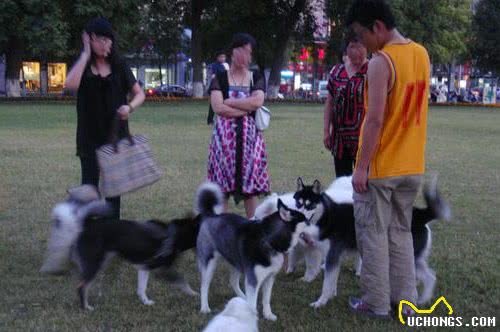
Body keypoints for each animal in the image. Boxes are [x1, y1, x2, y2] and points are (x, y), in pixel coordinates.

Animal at [41, 185, 200, 310]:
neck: (174, 233)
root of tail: (85, 224)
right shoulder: (163, 269)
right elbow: (182, 280)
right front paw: (194, 293)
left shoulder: (144, 267)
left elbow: (142, 288)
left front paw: (145, 302)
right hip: (95, 263)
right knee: (81, 286)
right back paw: (86, 307)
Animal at [196, 180, 306, 320]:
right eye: (305, 218)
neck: (269, 239)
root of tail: (211, 215)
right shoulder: (253, 280)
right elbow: (253, 302)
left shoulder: (269, 277)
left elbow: (266, 299)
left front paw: (268, 314)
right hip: (209, 263)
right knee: (204, 286)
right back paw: (205, 307)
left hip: (237, 262)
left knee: (233, 281)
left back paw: (243, 299)